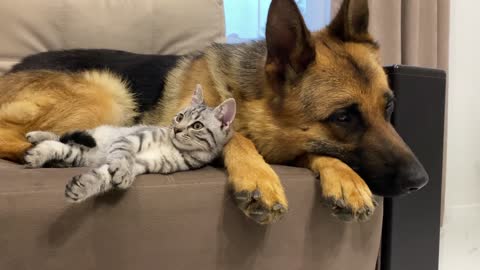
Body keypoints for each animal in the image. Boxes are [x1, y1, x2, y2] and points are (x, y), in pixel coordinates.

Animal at [22, 85, 236, 201]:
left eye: (197, 125)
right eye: (180, 117)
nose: (176, 129)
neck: (173, 147)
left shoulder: (145, 164)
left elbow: (103, 176)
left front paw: (83, 187)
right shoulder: (132, 138)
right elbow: (122, 155)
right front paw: (122, 171)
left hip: (82, 156)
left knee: (60, 146)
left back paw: (36, 155)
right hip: (93, 138)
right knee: (59, 135)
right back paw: (34, 136)